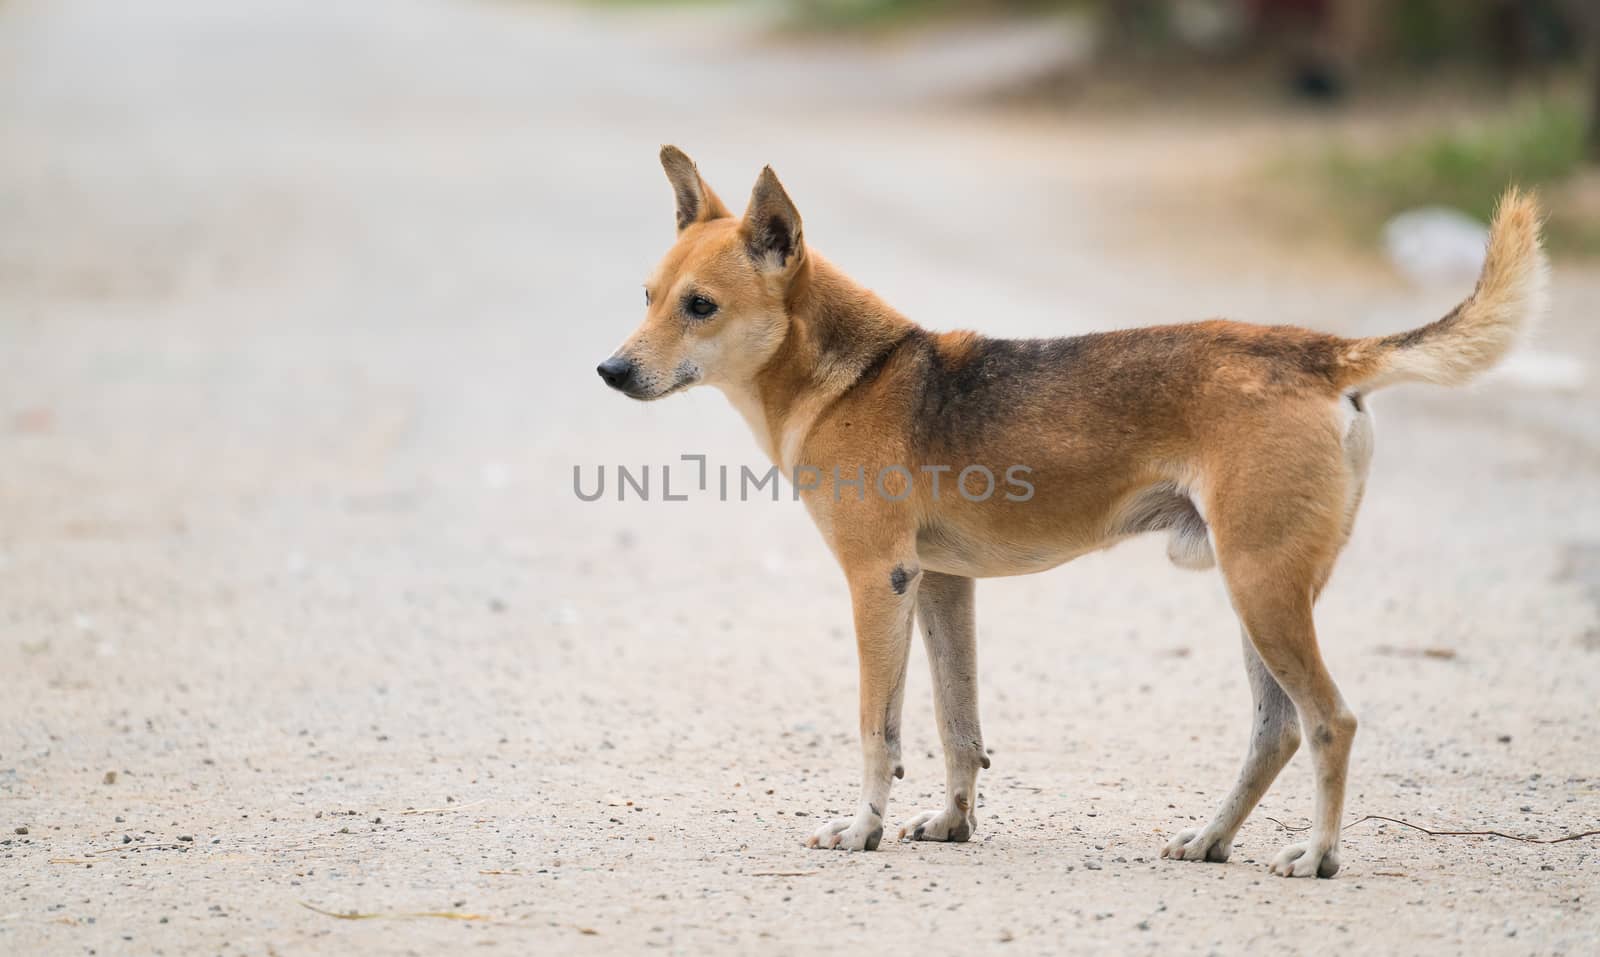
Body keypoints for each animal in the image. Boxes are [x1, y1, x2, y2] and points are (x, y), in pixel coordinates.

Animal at [595, 146, 1542, 883]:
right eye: (645, 294)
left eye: (700, 306)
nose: (609, 371)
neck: (854, 374)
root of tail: (1322, 353)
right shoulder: (942, 586)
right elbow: (957, 725)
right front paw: (953, 823)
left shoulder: (877, 583)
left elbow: (878, 728)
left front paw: (861, 828)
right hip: (1259, 595)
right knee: (1275, 733)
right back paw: (1211, 838)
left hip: (1263, 590)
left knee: (1329, 721)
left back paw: (1317, 855)